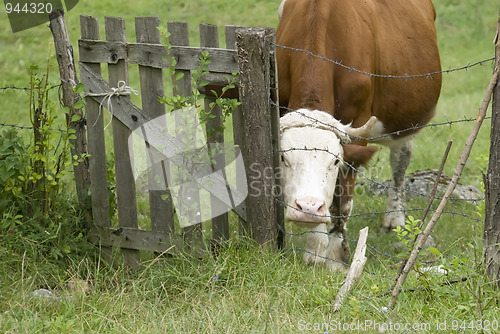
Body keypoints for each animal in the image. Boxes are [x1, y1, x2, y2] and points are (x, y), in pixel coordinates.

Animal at [278, 0, 442, 272]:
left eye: (335, 161)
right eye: (283, 158)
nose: (308, 208)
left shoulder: (357, 126)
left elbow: (342, 201)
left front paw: (333, 253)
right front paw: (315, 248)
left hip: (404, 121)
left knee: (400, 160)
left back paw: (395, 217)